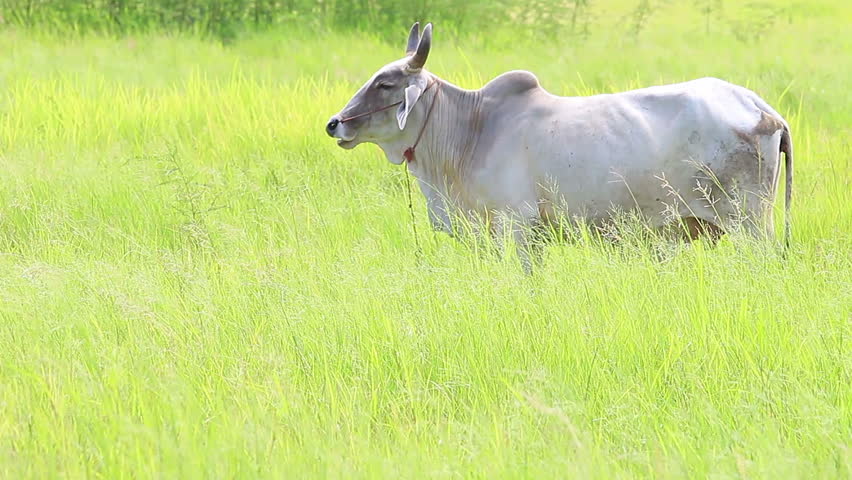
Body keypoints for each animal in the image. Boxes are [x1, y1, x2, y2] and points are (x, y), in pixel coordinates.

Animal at [325, 22, 793, 272]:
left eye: (386, 84)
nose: (334, 124)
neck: (471, 130)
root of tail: (760, 107)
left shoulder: (517, 226)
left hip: (750, 224)